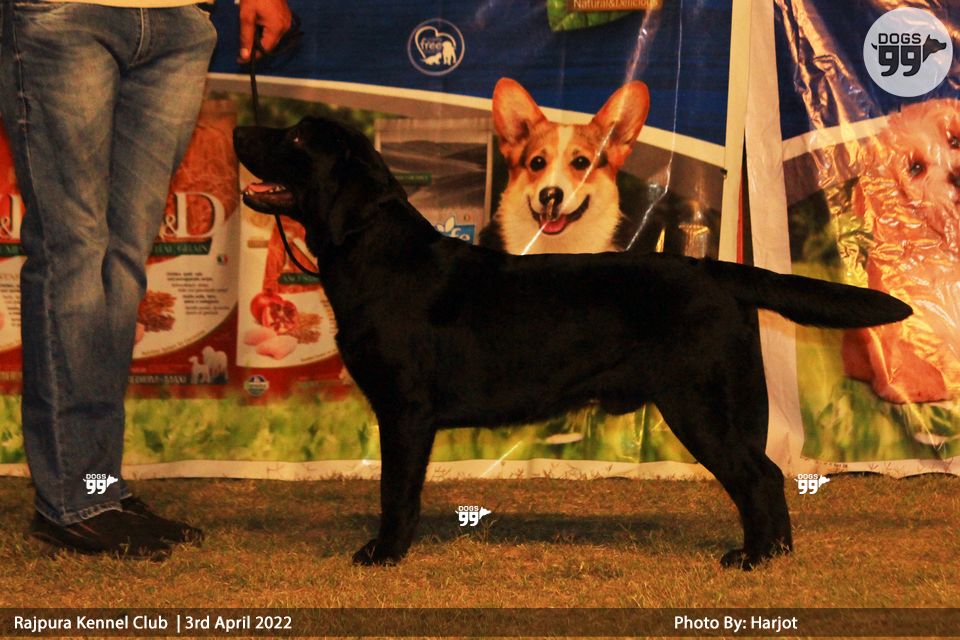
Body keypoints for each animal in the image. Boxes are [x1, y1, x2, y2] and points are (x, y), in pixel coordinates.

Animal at [234, 116, 911, 570]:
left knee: (761, 476)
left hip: (699, 406)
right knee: (762, 477)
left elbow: (395, 492)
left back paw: (755, 560)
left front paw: (383, 554)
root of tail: (714, 270)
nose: (238, 126)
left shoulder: (406, 411)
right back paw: (773, 555)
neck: (374, 256)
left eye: (298, 140)